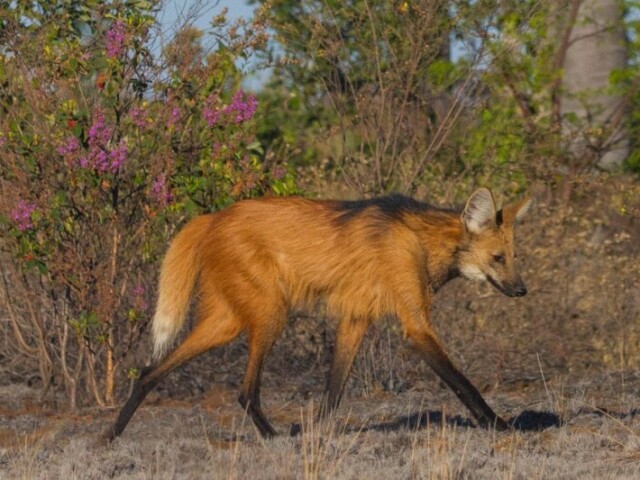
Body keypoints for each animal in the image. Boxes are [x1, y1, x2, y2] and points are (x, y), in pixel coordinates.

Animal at [105, 188, 532, 442]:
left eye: (513, 257)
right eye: (498, 258)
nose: (522, 290)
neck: (422, 240)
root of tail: (212, 216)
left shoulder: (356, 318)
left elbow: (333, 390)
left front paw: (317, 435)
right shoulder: (415, 325)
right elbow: (464, 384)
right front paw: (501, 425)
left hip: (224, 323)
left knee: (149, 372)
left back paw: (112, 434)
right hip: (271, 313)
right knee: (245, 392)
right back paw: (273, 436)